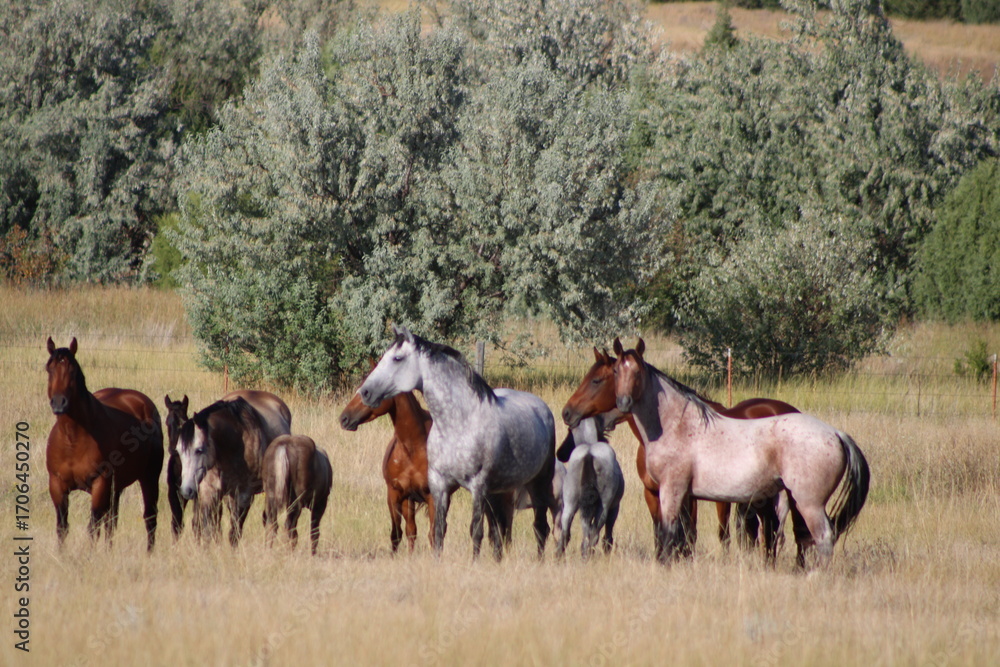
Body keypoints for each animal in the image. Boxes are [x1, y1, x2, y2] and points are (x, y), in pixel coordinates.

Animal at [45, 338, 163, 550]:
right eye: (49, 369)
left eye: (72, 371)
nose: (59, 403)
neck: (72, 438)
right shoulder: (57, 486)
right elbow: (63, 528)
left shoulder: (100, 484)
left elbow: (92, 528)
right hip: (117, 487)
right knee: (111, 521)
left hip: (149, 477)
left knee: (149, 518)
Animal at [164, 390, 291, 538]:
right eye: (179, 451)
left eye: (199, 450)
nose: (186, 489)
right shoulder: (209, 492)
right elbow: (207, 530)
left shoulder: (244, 495)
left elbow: (234, 533)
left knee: (270, 522)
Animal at [356, 325, 558, 560]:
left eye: (397, 358)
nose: (365, 392)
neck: (457, 424)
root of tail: (541, 408)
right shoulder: (439, 483)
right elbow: (438, 531)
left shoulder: (477, 486)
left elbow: (476, 531)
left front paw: (474, 563)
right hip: (498, 491)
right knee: (499, 529)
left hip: (538, 483)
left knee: (540, 527)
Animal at [556, 417, 625, 560]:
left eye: (569, 432)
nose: (559, 453)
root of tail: (589, 453)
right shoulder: (614, 507)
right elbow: (607, 535)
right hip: (603, 506)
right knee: (594, 533)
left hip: (570, 503)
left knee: (566, 532)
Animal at [613, 338, 870, 566]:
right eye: (616, 370)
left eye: (637, 372)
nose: (623, 402)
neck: (678, 424)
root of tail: (836, 434)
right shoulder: (684, 495)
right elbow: (681, 535)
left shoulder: (671, 489)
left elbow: (668, 535)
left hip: (809, 503)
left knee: (823, 537)